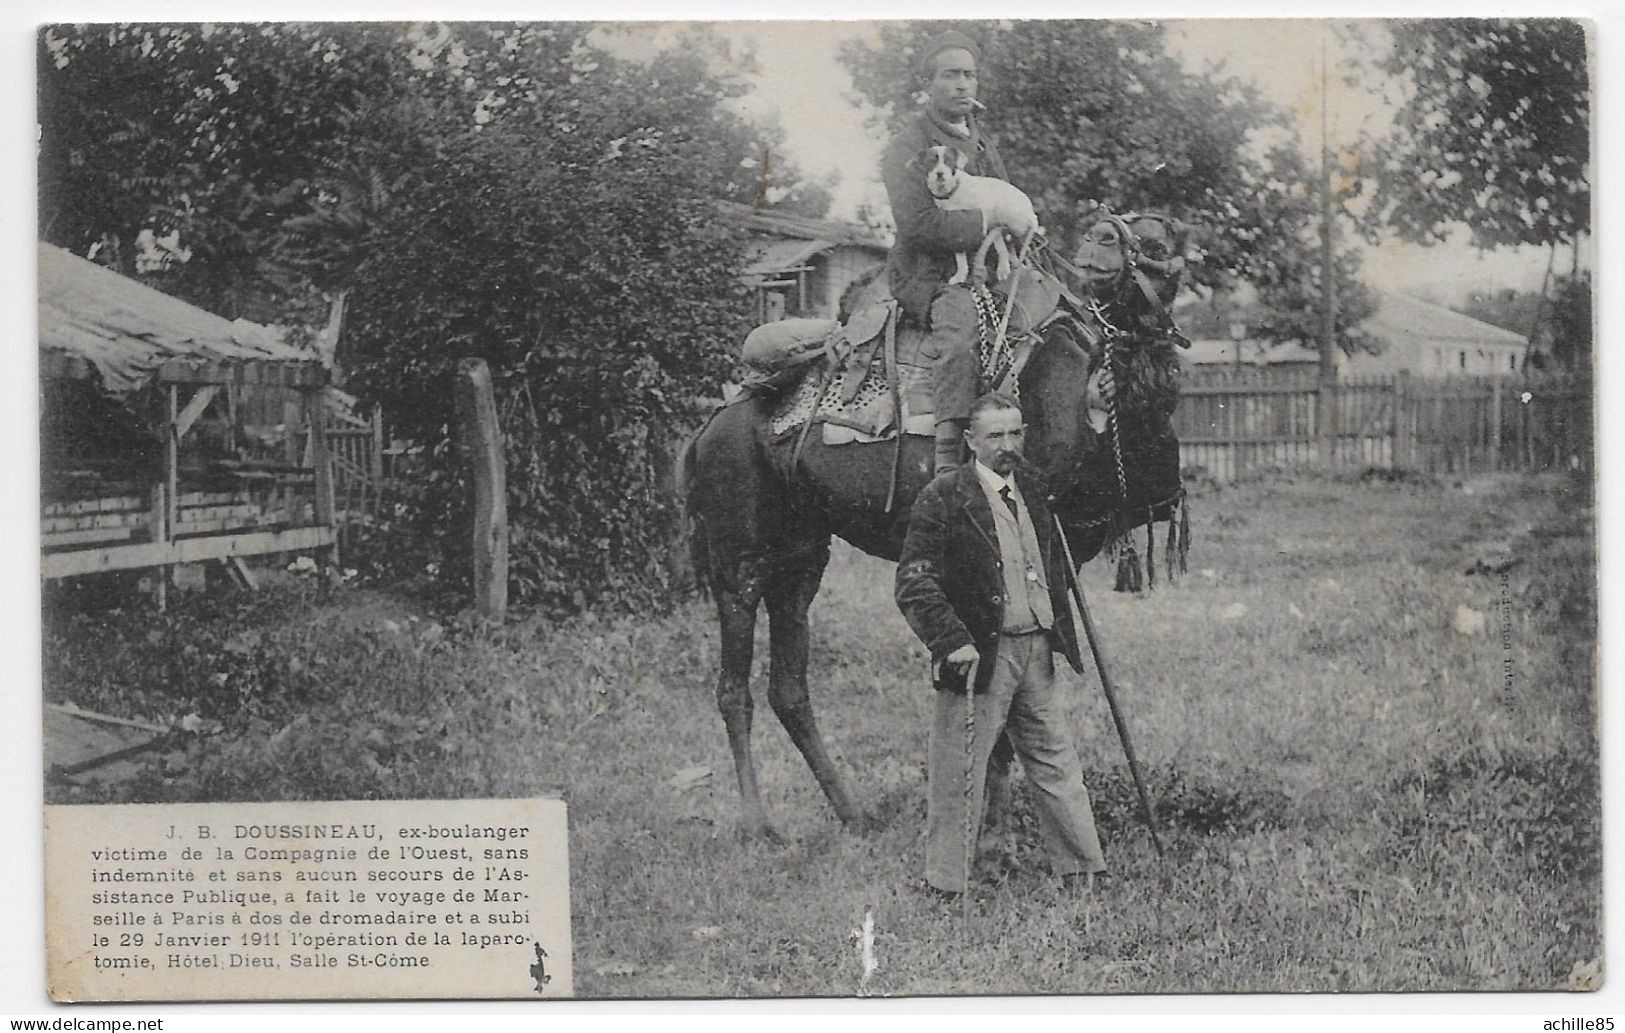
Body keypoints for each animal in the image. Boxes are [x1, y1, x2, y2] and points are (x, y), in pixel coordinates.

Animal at [916, 142, 1040, 284]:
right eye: (931, 161)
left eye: (948, 160)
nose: (940, 173)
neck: (952, 190)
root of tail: (1031, 213)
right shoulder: (959, 228)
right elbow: (960, 256)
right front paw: (960, 275)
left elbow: (998, 247)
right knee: (1010, 246)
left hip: (1013, 222)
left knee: (1015, 246)